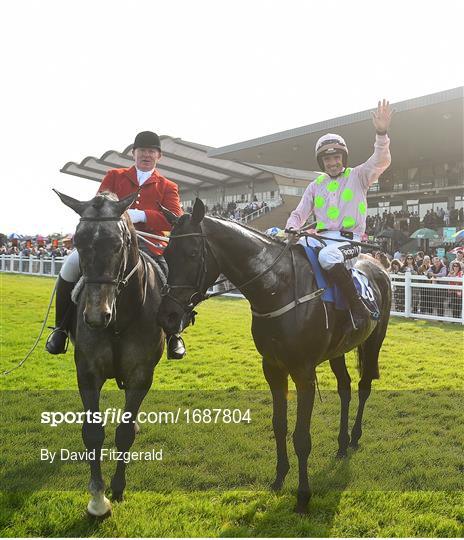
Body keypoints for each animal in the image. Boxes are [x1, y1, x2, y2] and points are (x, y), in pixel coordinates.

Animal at [54, 190, 165, 516]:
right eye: (78, 242)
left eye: (117, 244)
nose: (94, 316)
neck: (119, 319)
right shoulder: (88, 372)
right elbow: (93, 433)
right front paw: (97, 499)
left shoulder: (141, 375)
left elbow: (124, 433)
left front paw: (117, 488)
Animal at [158, 199, 390, 516]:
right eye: (166, 253)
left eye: (192, 253)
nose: (168, 315)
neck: (277, 288)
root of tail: (377, 263)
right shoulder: (272, 367)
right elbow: (279, 426)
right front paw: (279, 478)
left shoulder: (303, 372)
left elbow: (301, 438)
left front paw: (303, 497)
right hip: (338, 350)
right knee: (345, 388)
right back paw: (342, 445)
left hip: (374, 340)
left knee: (364, 386)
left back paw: (354, 438)